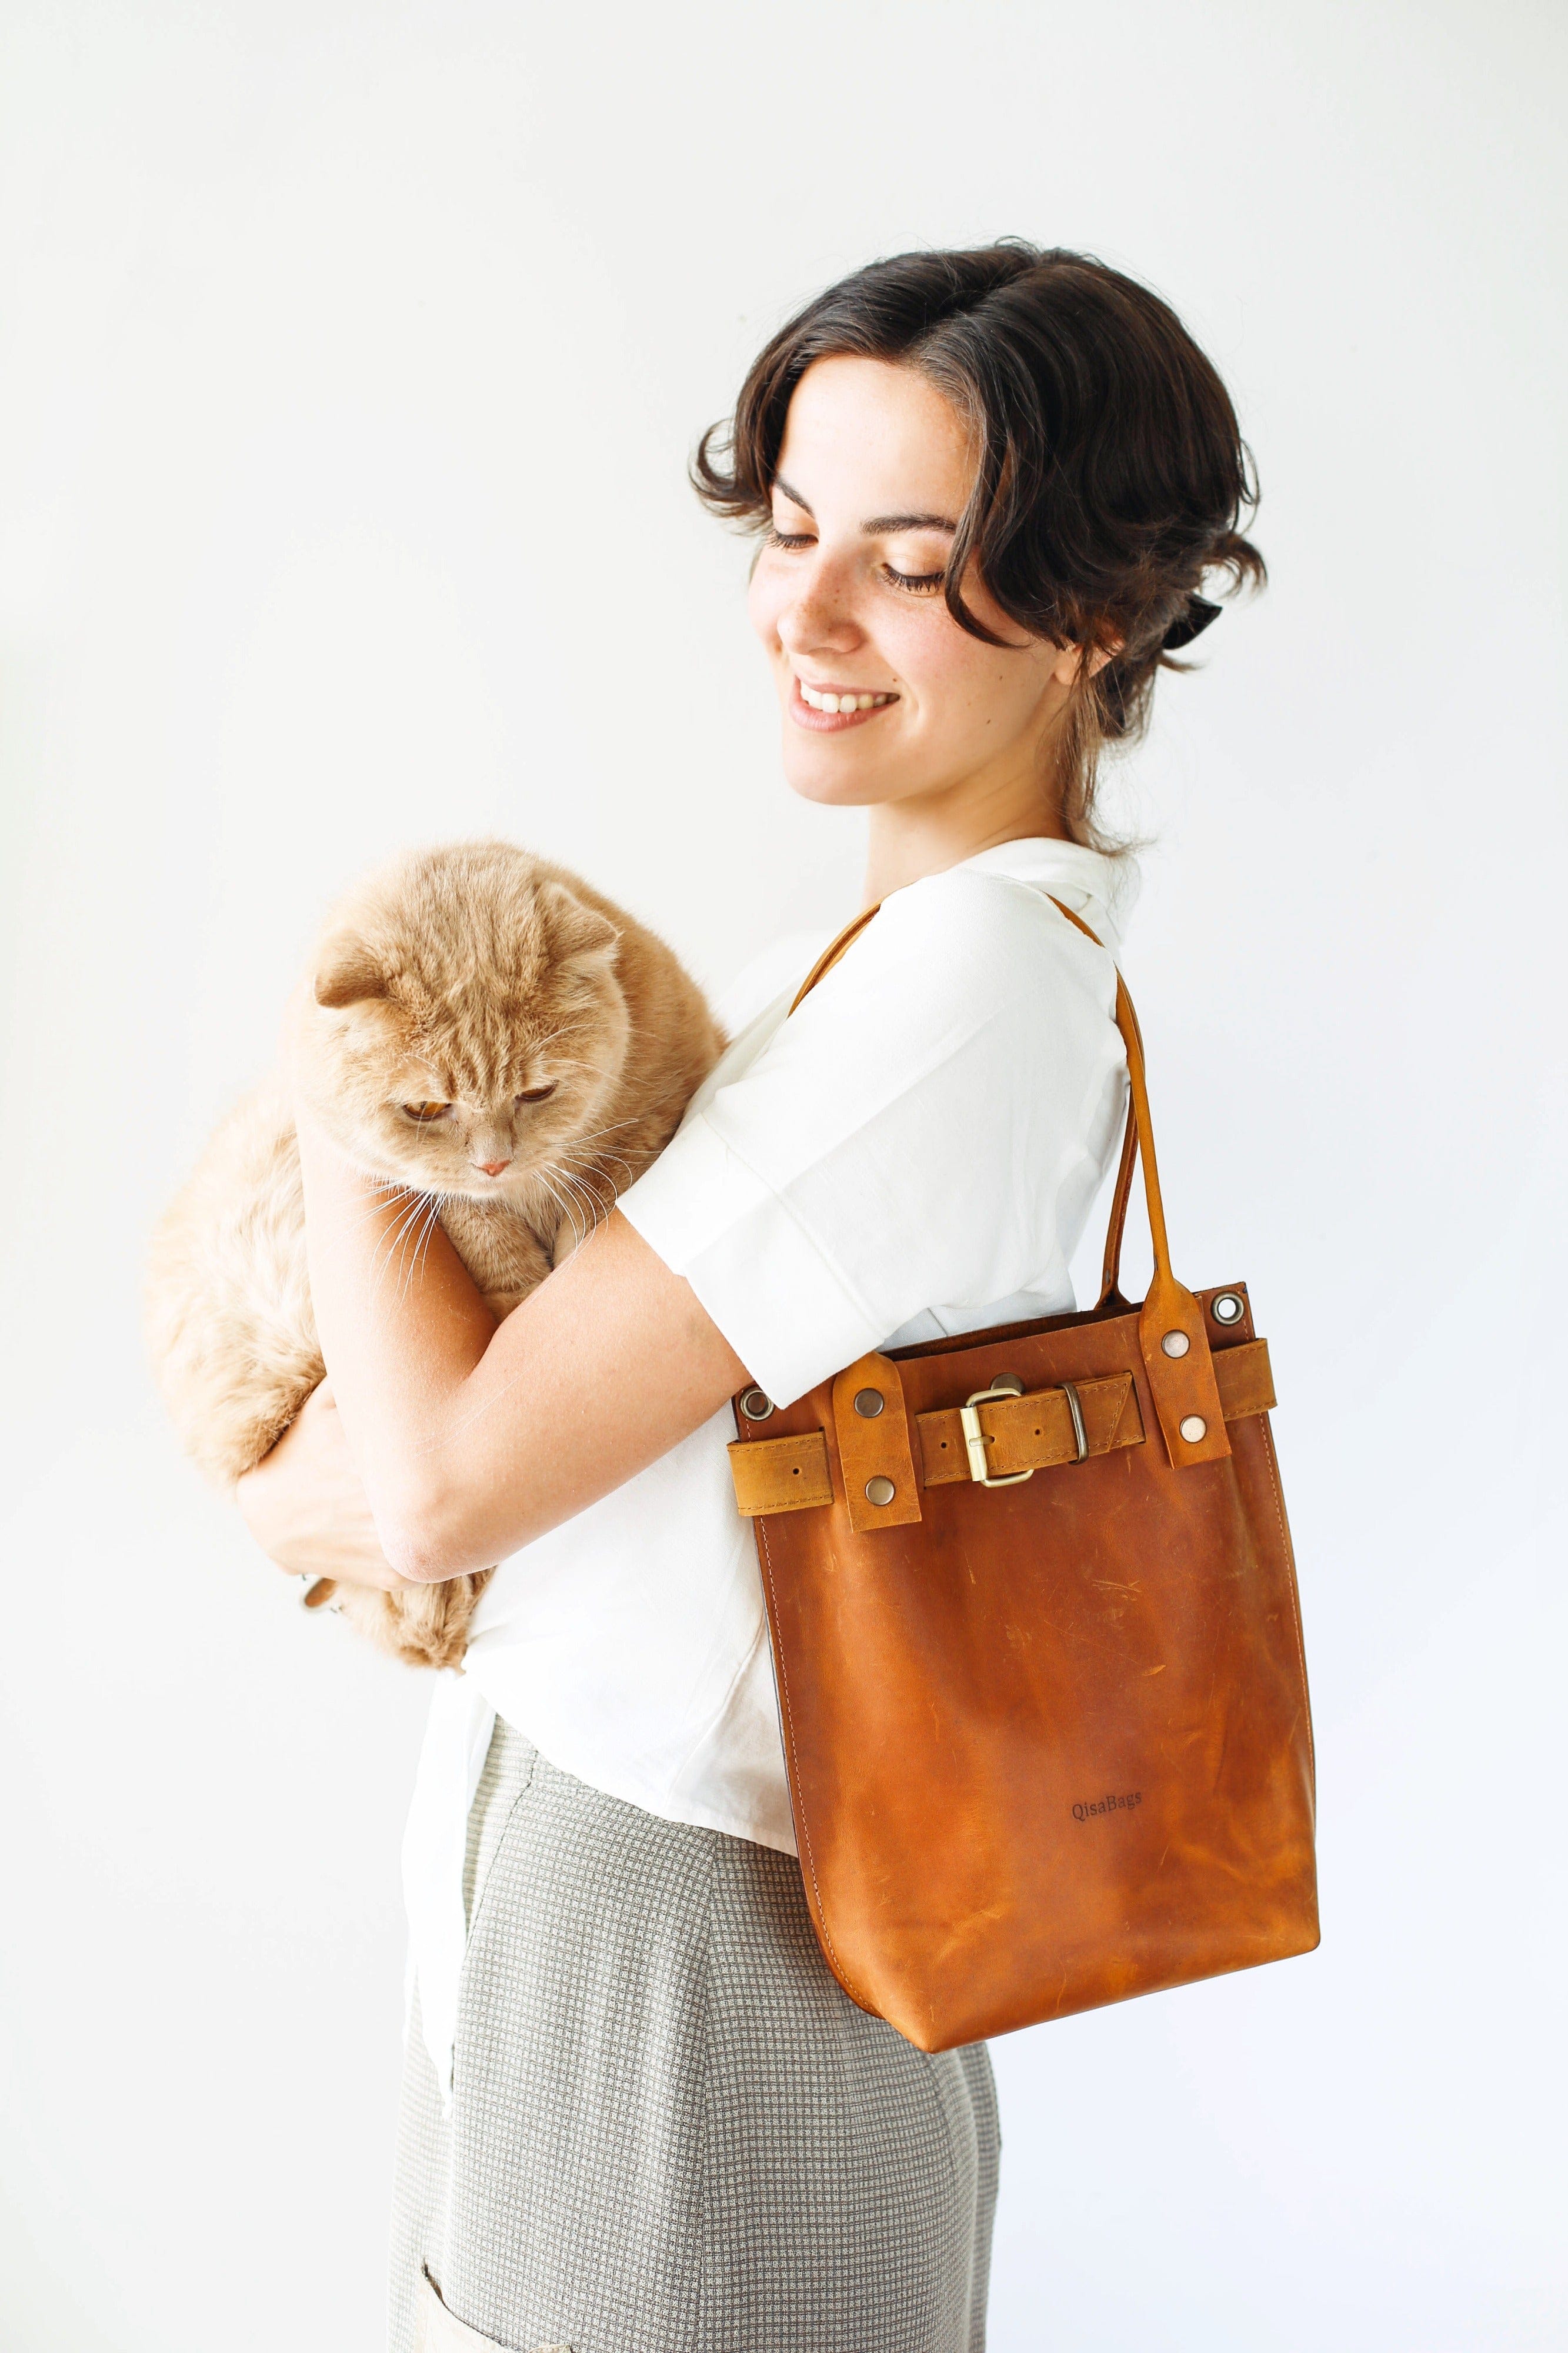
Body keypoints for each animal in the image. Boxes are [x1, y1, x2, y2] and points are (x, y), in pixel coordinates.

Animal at [146, 847, 720, 1675]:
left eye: (537, 1091)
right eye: (425, 1109)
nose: (493, 1161)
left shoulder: (643, 1122)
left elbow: (597, 1202)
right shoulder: (444, 1201)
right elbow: (494, 1251)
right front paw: (524, 1299)